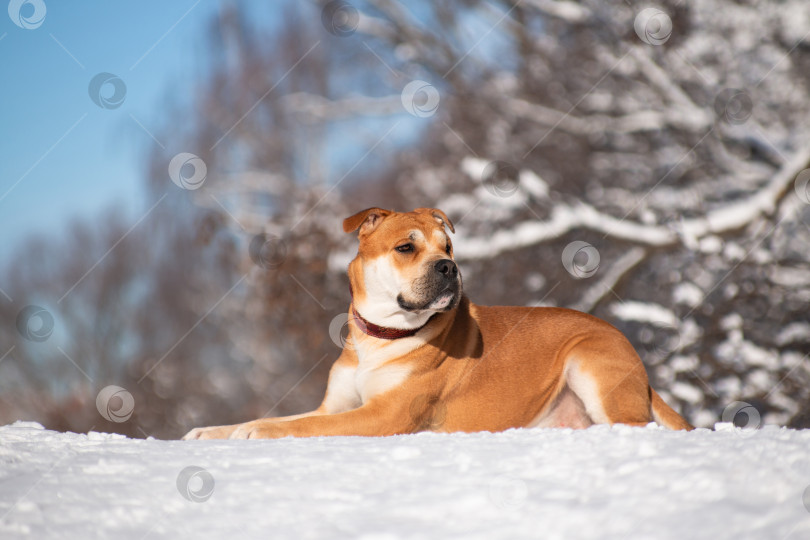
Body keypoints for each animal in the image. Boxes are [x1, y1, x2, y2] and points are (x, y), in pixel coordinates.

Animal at [186, 207, 692, 438]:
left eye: (447, 248)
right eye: (406, 247)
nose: (449, 267)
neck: (384, 336)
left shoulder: (383, 414)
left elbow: (298, 427)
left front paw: (260, 433)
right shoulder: (334, 406)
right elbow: (284, 415)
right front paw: (213, 431)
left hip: (587, 358)